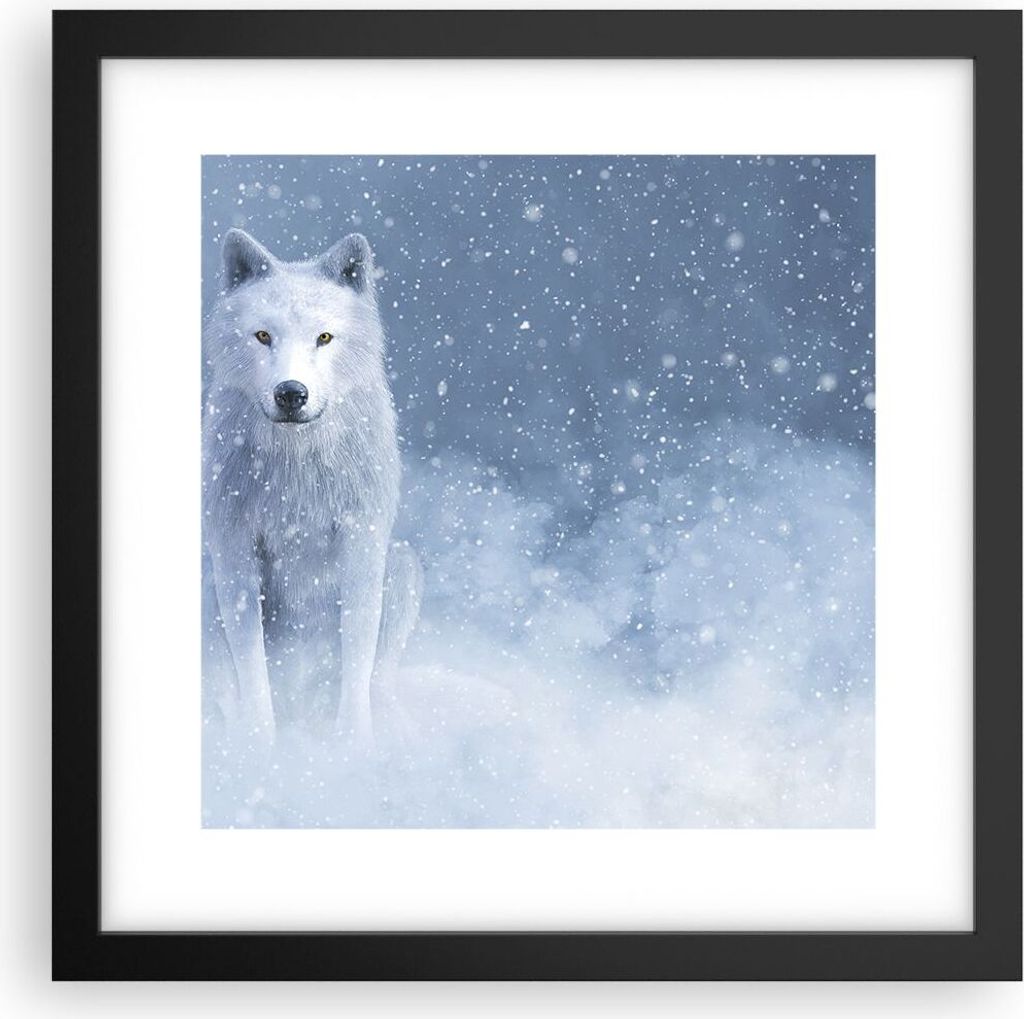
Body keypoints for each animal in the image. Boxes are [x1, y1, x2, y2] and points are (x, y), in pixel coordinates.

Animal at [202, 229, 421, 748]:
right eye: (263, 335)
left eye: (324, 337)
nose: (291, 393)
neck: (296, 468)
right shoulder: (234, 550)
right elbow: (251, 664)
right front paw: (259, 745)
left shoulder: (361, 543)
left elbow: (357, 651)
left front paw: (352, 745)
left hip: (402, 565)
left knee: (377, 679)